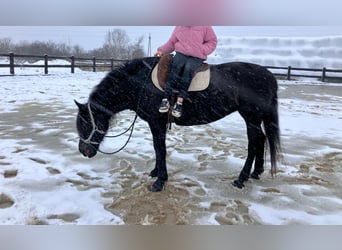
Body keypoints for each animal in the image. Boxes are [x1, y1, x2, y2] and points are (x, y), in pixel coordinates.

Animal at [75, 56, 280, 191]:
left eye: (86, 124)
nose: (84, 152)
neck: (141, 83)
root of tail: (268, 75)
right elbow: (158, 148)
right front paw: (156, 172)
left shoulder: (156, 122)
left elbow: (160, 148)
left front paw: (159, 181)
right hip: (255, 119)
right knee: (261, 139)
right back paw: (256, 172)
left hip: (251, 117)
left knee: (254, 143)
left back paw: (241, 179)